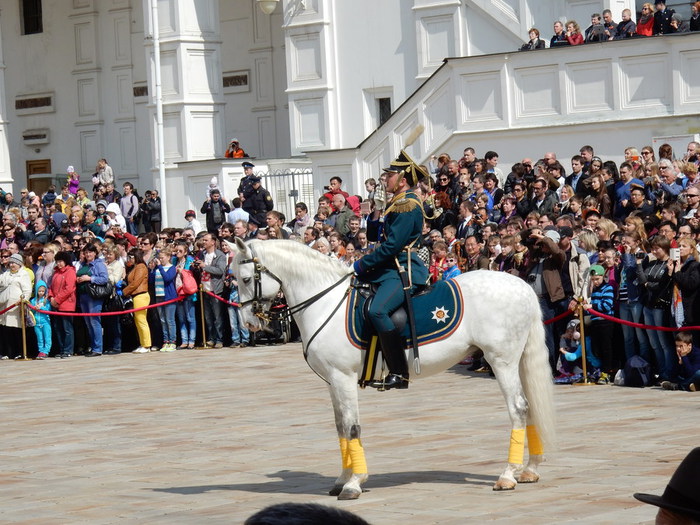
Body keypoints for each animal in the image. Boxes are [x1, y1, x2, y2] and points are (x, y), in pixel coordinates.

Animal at [227, 237, 556, 500]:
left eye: (246, 278)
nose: (249, 323)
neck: (324, 302)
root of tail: (521, 285)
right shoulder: (332, 381)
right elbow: (341, 428)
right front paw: (342, 479)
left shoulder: (343, 378)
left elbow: (353, 427)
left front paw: (354, 483)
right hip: (516, 361)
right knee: (529, 406)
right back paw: (529, 469)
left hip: (501, 360)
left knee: (518, 408)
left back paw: (508, 475)